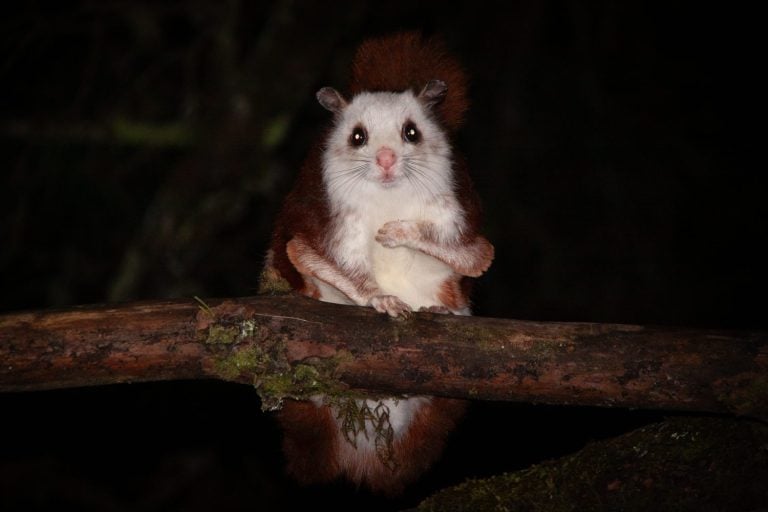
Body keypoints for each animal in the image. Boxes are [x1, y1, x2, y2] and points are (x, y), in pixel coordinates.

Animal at [260, 32, 494, 495]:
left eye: (411, 132)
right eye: (357, 136)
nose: (386, 160)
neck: (389, 198)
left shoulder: (461, 217)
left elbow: (474, 257)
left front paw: (398, 233)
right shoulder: (320, 223)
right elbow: (309, 256)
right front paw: (379, 298)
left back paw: (440, 308)